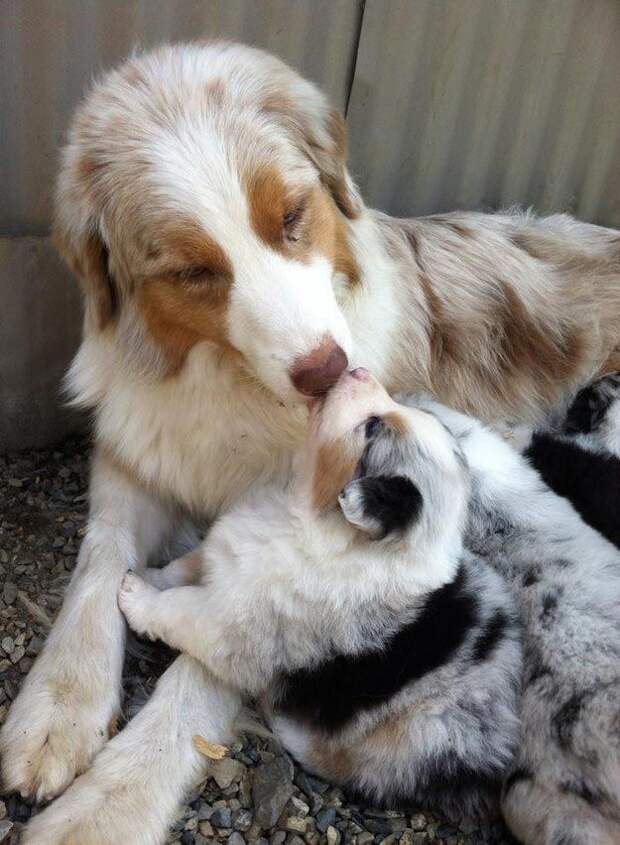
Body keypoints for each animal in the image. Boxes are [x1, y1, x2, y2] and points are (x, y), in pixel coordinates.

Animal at [117, 366, 524, 820]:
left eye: (372, 428)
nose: (356, 369)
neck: (302, 515)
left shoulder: (226, 624)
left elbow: (176, 609)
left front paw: (134, 593)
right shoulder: (223, 555)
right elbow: (184, 567)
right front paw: (147, 572)